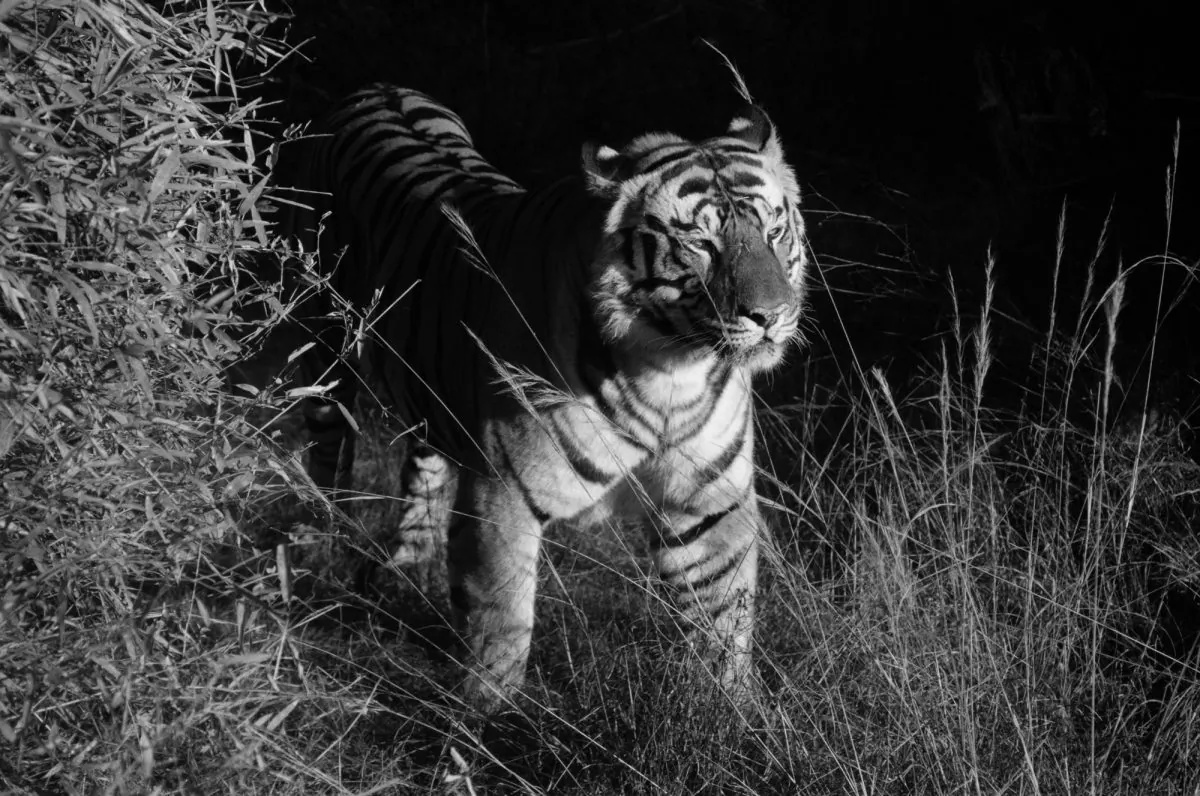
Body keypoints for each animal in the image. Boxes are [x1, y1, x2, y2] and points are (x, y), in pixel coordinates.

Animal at [271, 83, 809, 712]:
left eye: (774, 232)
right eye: (701, 244)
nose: (772, 315)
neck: (670, 372)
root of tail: (374, 88)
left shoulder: (708, 499)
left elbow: (723, 617)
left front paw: (734, 715)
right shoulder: (505, 492)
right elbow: (502, 620)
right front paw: (489, 719)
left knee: (424, 470)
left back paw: (408, 565)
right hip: (324, 350)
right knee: (329, 450)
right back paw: (325, 540)